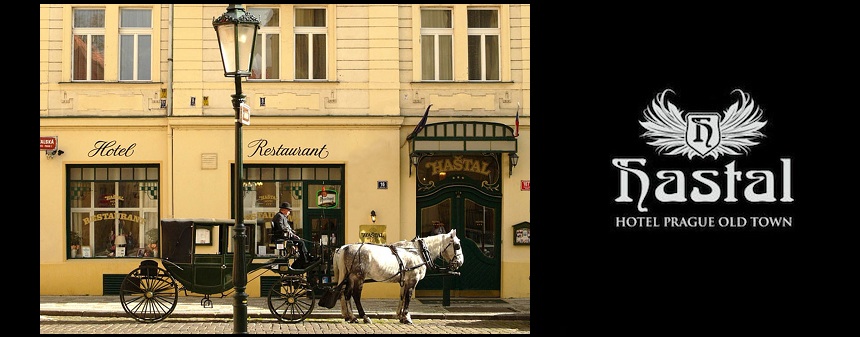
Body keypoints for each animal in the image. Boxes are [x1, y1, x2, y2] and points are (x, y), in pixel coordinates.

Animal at [330, 228, 464, 322]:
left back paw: (351, 317)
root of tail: (344, 248)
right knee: (355, 295)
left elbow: (402, 296)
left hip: (350, 277)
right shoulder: (412, 280)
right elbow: (408, 297)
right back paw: (364, 317)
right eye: (457, 245)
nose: (460, 262)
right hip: (358, 277)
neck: (418, 252)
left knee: (345, 294)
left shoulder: (405, 280)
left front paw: (400, 316)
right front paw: (406, 317)